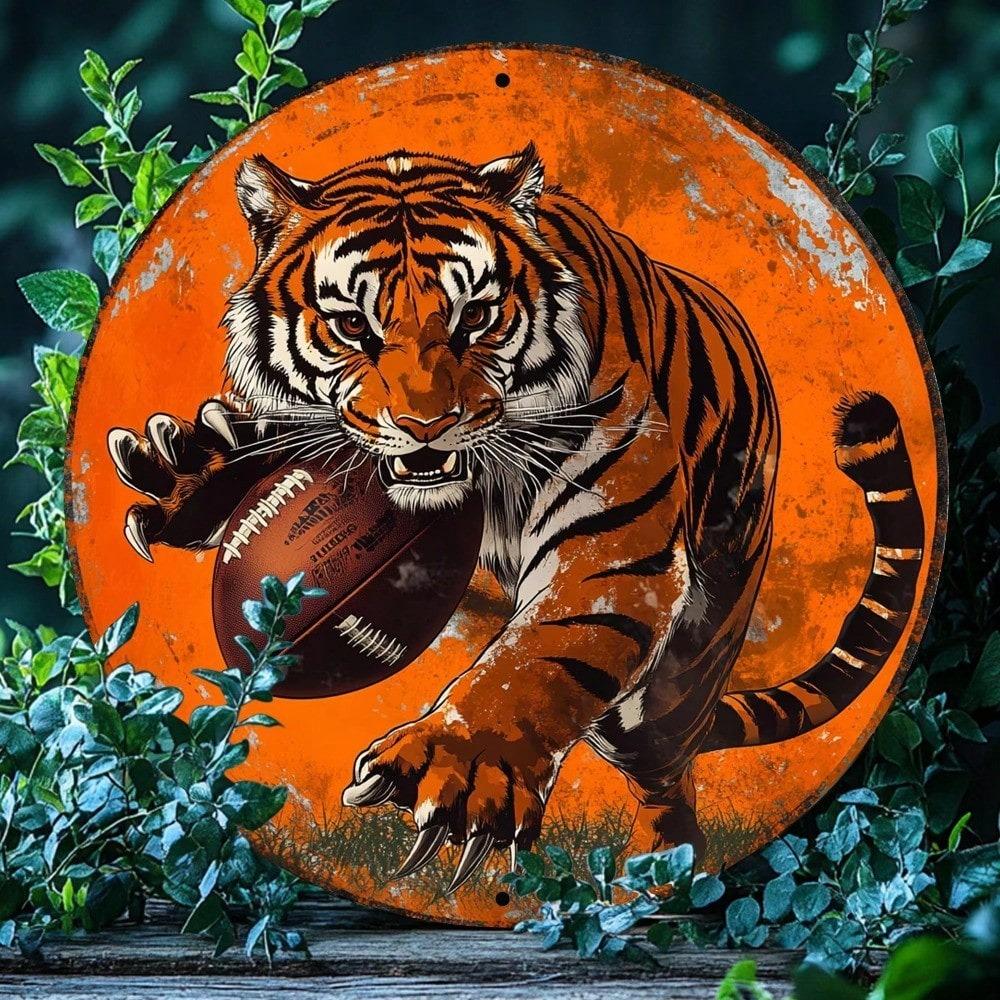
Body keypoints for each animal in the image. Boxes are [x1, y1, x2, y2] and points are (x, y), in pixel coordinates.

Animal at [107, 144, 925, 891]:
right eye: (352, 328)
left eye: (474, 316)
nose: (425, 426)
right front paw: (189, 471)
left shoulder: (609, 547)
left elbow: (533, 663)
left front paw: (465, 769)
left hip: (677, 674)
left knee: (666, 763)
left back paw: (662, 869)